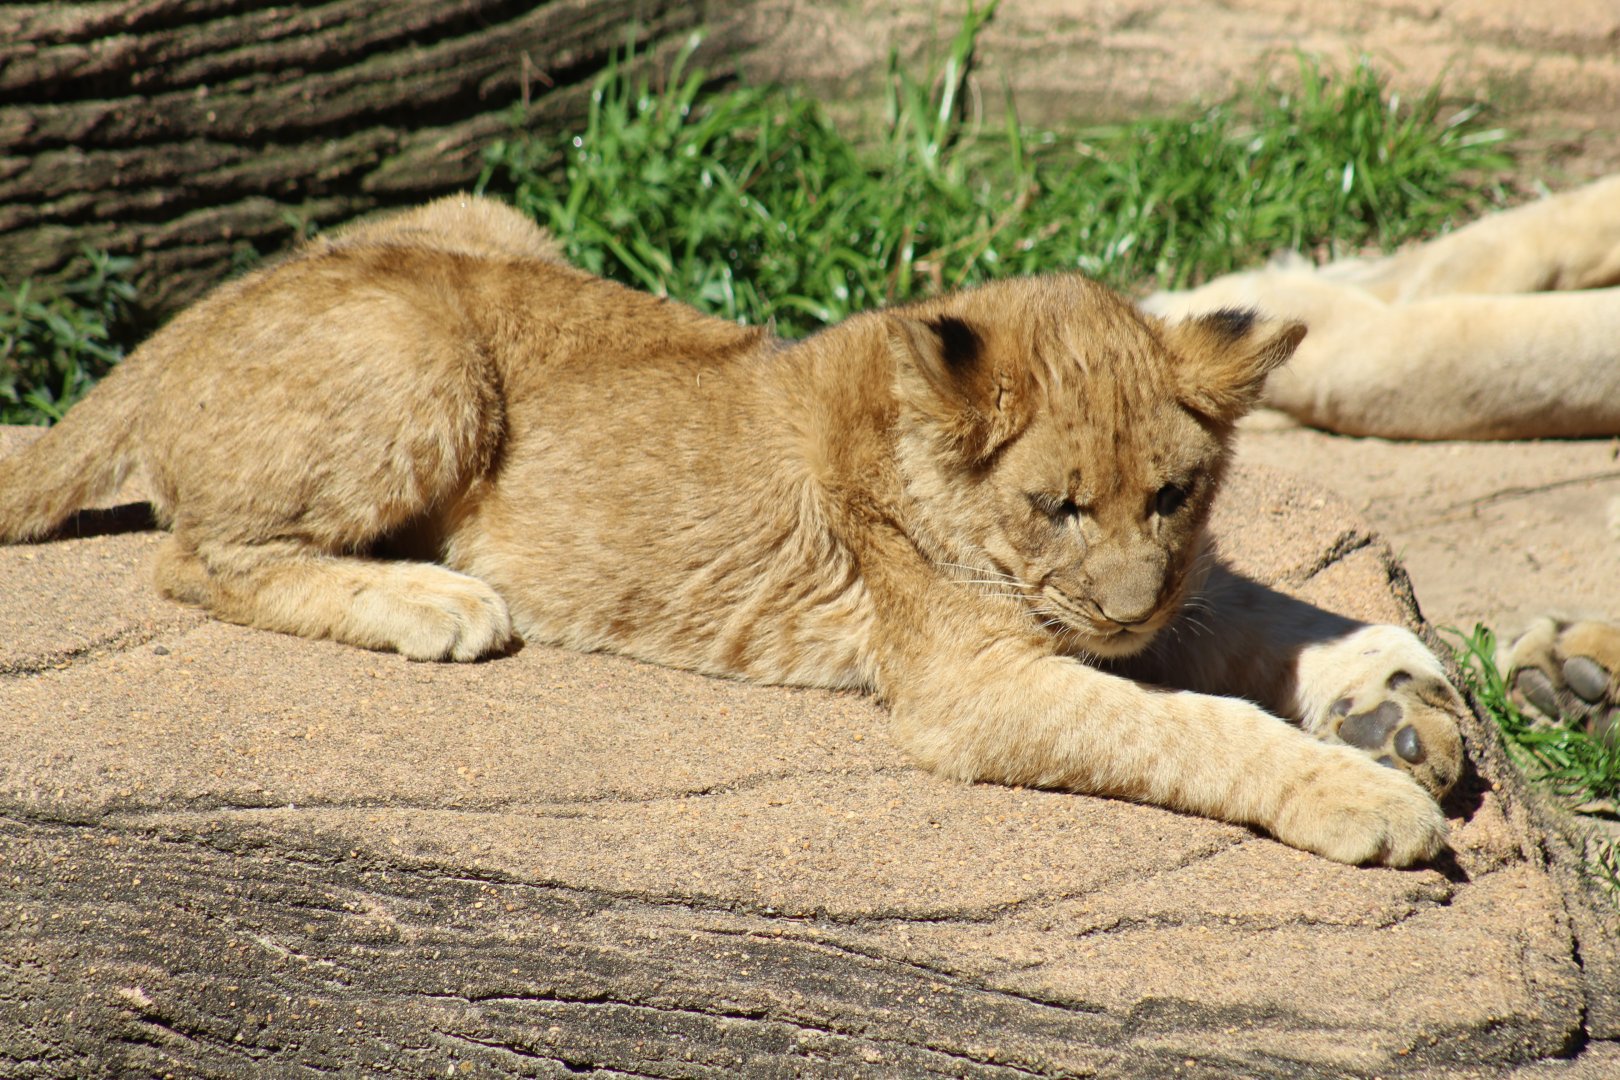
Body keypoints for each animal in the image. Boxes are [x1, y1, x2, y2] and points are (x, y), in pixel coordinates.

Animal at [0, 195, 1467, 866]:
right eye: (1056, 505)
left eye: (1172, 495)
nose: (1126, 612)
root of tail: (179, 325)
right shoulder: (969, 690)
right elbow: (1195, 727)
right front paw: (1363, 793)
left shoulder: (1173, 589)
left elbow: (1277, 615)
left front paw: (1398, 703)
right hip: (425, 347)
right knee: (191, 555)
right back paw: (432, 601)